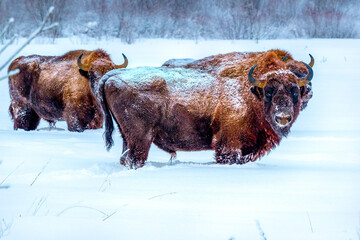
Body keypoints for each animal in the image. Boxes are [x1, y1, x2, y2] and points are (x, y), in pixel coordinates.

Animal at [89, 48, 312, 169]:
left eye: (294, 90)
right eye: (269, 90)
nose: (282, 117)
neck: (250, 90)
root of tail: (111, 76)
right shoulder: (228, 145)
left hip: (126, 137)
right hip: (141, 138)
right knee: (134, 158)